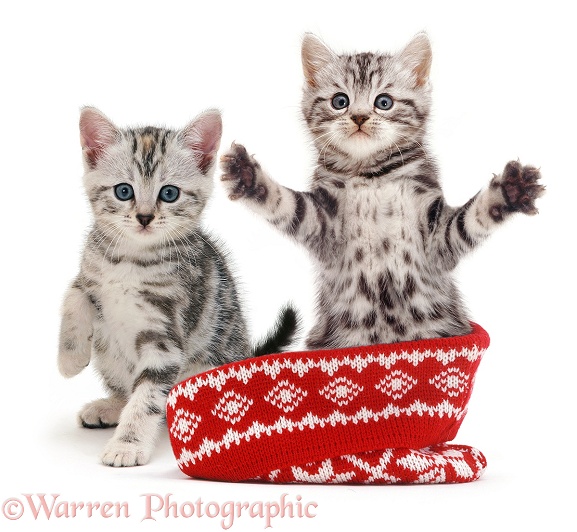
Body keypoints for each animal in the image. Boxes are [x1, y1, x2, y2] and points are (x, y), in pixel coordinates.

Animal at [59, 107, 296, 466]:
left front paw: (128, 444)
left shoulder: (164, 335)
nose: (144, 217)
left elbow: (147, 396)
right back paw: (111, 406)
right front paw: (70, 358)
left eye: (169, 193)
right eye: (123, 191)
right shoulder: (90, 274)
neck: (131, 260)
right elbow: (72, 296)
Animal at [218, 32, 544, 350]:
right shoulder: (324, 224)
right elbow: (286, 204)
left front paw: (511, 189)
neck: (371, 175)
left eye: (383, 102)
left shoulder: (437, 237)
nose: (359, 117)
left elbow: (470, 219)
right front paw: (248, 176)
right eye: (340, 101)